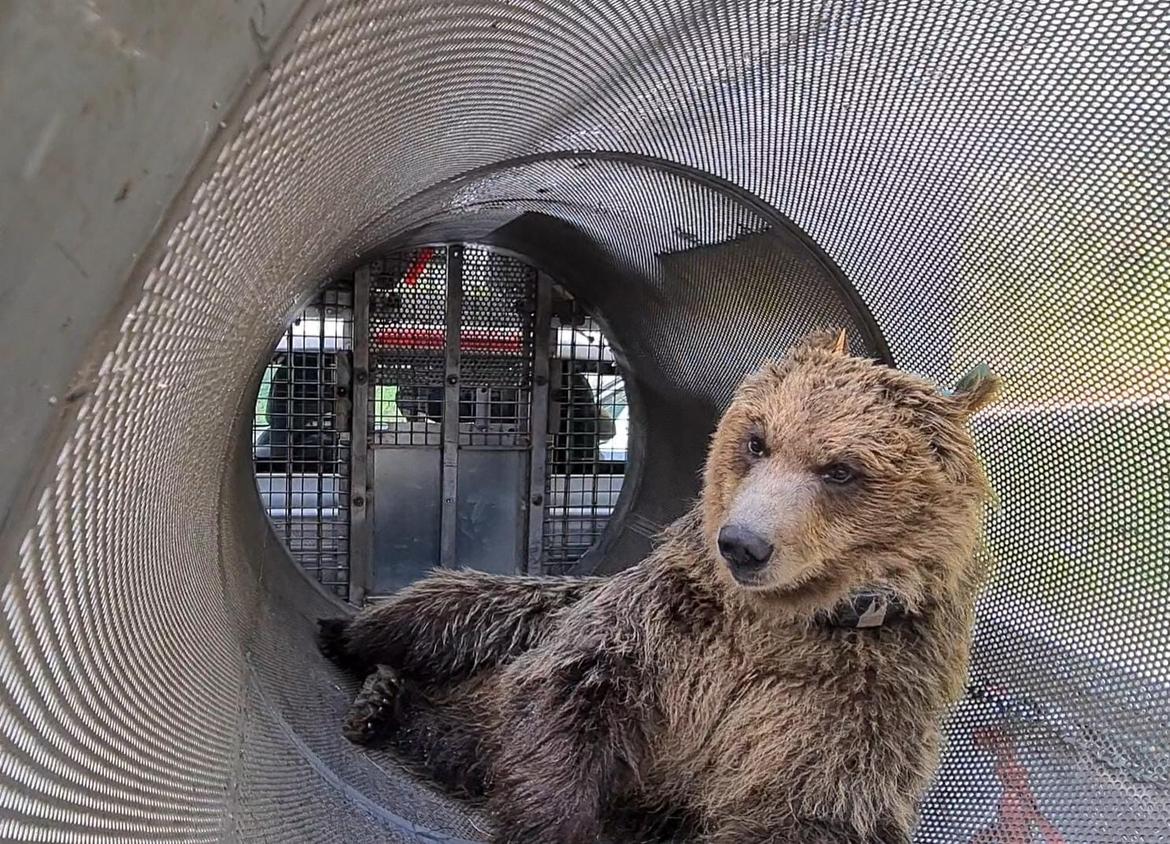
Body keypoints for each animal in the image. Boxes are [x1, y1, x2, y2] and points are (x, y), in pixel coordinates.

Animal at [318, 329, 1001, 843]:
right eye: (758, 440)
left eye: (840, 470)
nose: (742, 543)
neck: (779, 621)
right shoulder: (666, 627)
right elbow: (569, 701)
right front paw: (552, 824)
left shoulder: (854, 702)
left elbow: (811, 808)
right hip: (517, 610)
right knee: (445, 615)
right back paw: (352, 652)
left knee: (450, 734)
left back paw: (386, 705)